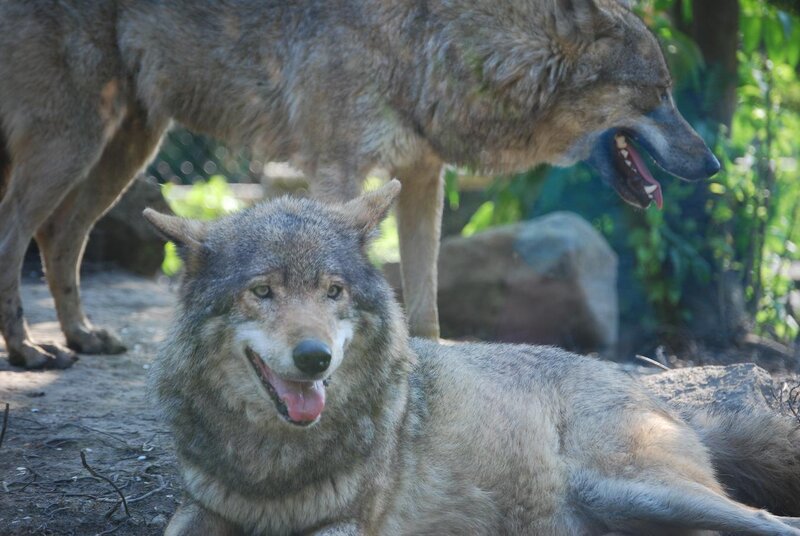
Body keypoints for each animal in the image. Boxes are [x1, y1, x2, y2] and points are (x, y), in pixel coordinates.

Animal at [0, 0, 720, 368]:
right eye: (659, 94)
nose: (714, 166)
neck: (432, 46)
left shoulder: (422, 179)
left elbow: (427, 310)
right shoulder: (336, 172)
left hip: (125, 144)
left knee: (60, 235)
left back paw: (81, 335)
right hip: (74, 140)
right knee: (16, 232)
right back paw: (30, 349)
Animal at [146, 181, 798, 536]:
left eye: (333, 291)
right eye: (262, 291)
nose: (315, 358)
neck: (272, 464)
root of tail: (666, 404)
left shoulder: (347, 523)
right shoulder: (199, 508)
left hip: (635, 485)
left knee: (771, 521)